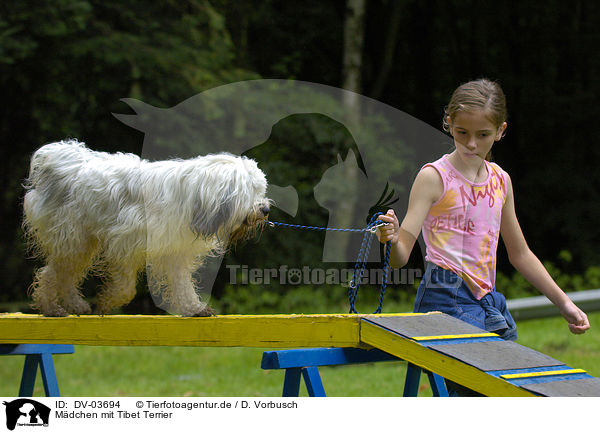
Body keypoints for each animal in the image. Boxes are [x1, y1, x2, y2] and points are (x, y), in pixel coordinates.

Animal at [22, 140, 268, 316]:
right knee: (52, 272)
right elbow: (126, 287)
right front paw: (107, 302)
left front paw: (193, 308)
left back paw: (74, 305)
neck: (194, 196)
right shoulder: (124, 243)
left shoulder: (175, 249)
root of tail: (67, 162)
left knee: (64, 275)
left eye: (261, 190)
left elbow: (181, 282)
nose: (265, 209)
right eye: (250, 190)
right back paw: (51, 308)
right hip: (72, 238)